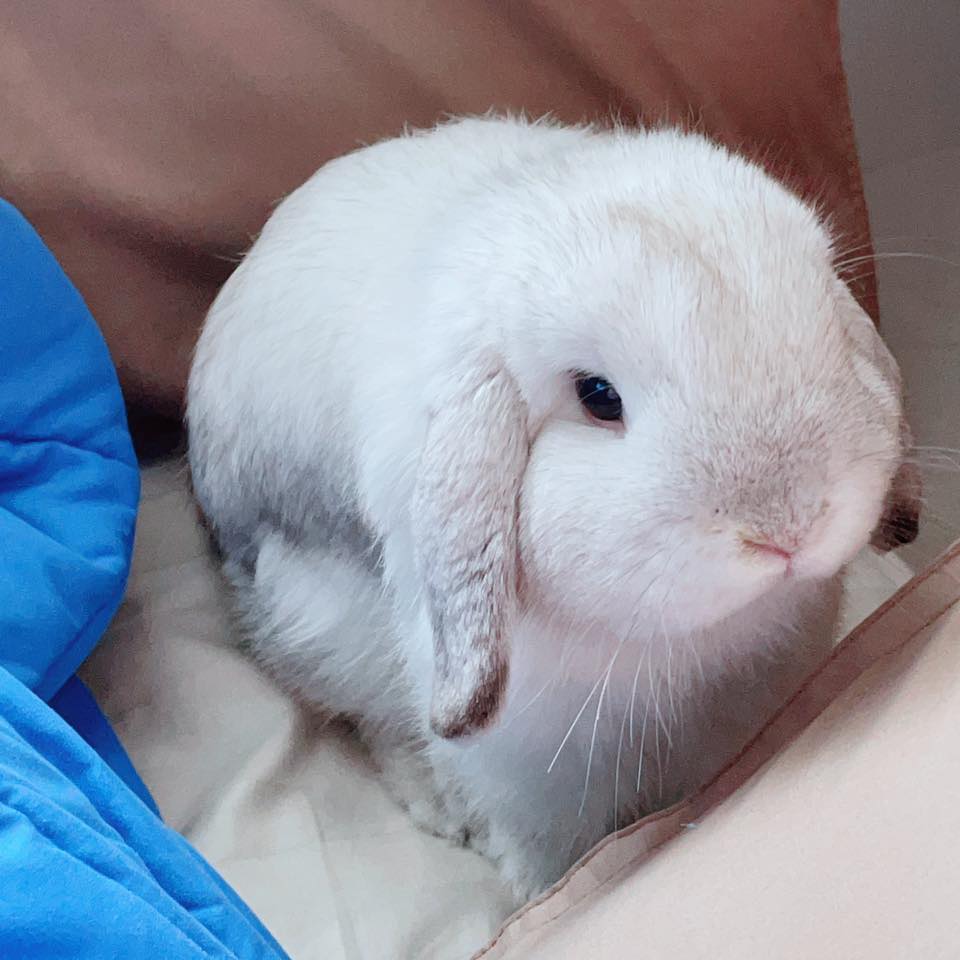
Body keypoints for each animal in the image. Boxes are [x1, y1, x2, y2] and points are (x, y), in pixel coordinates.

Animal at [186, 115, 920, 902]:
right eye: (598, 397)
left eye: (828, 325)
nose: (789, 529)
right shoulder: (534, 778)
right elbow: (551, 855)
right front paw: (541, 894)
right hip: (324, 635)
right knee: (375, 724)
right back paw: (445, 811)